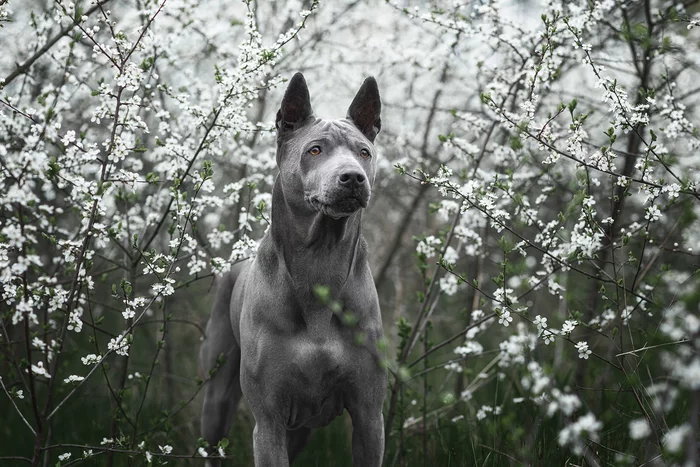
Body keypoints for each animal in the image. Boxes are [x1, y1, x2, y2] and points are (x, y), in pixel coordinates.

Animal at [201, 74, 388, 467]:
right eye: (314, 150)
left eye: (364, 152)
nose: (353, 177)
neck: (320, 263)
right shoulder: (269, 420)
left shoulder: (369, 416)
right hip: (217, 399)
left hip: (301, 427)